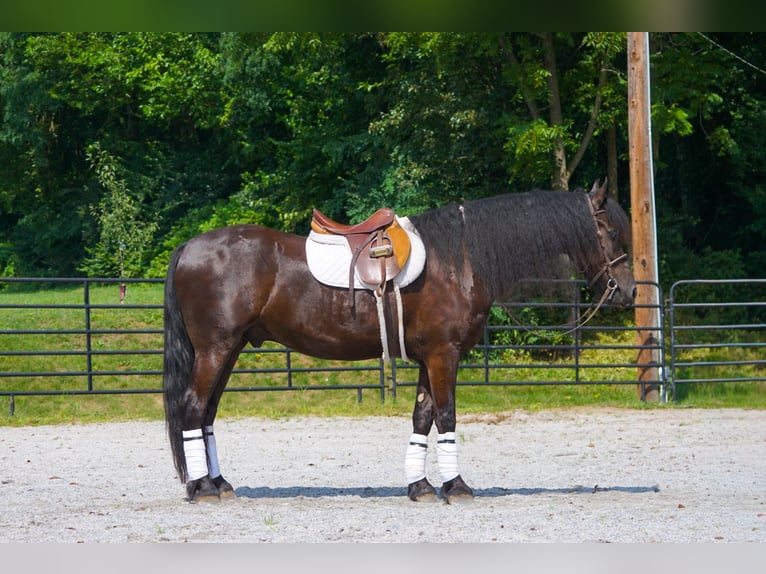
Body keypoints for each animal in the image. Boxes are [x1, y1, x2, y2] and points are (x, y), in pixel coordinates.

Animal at [162, 179, 636, 504]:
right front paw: (455, 486)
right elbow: (447, 415)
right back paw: (202, 487)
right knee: (193, 408)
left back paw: (219, 482)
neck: (458, 261)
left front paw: (420, 486)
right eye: (611, 231)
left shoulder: (430, 358)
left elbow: (422, 418)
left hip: (230, 349)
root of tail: (188, 247)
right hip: (216, 349)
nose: (629, 292)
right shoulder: (445, 356)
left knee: (207, 413)